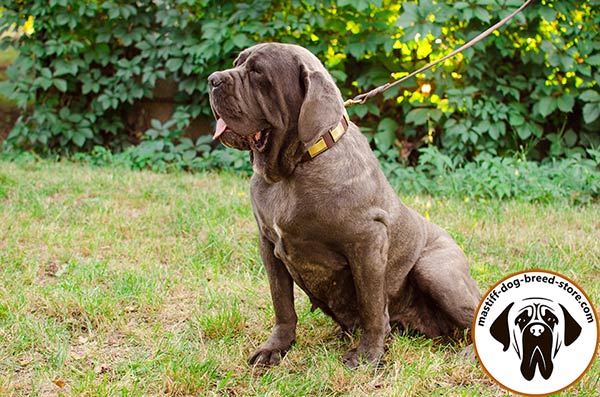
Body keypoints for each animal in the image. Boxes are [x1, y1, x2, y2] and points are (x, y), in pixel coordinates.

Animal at [209, 41, 480, 366]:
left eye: (258, 73)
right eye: (237, 62)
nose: (213, 79)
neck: (295, 167)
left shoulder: (368, 241)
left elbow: (371, 304)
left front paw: (367, 356)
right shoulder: (267, 243)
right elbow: (282, 304)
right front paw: (275, 348)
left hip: (435, 271)